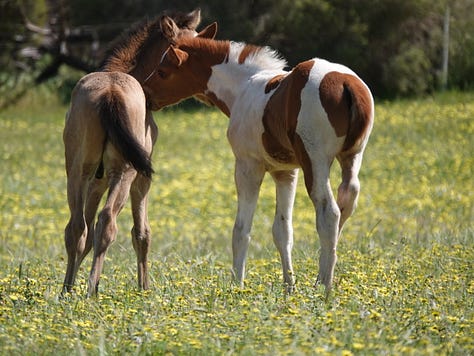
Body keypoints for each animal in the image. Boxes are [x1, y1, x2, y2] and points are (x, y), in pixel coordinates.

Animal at [147, 17, 374, 292]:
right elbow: (282, 231)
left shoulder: (248, 166)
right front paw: (289, 287)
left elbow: (241, 230)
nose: (144, 92)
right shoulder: (285, 172)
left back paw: (323, 286)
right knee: (347, 199)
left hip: (315, 161)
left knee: (328, 212)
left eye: (162, 71)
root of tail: (346, 84)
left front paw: (237, 285)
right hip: (352, 157)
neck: (243, 87)